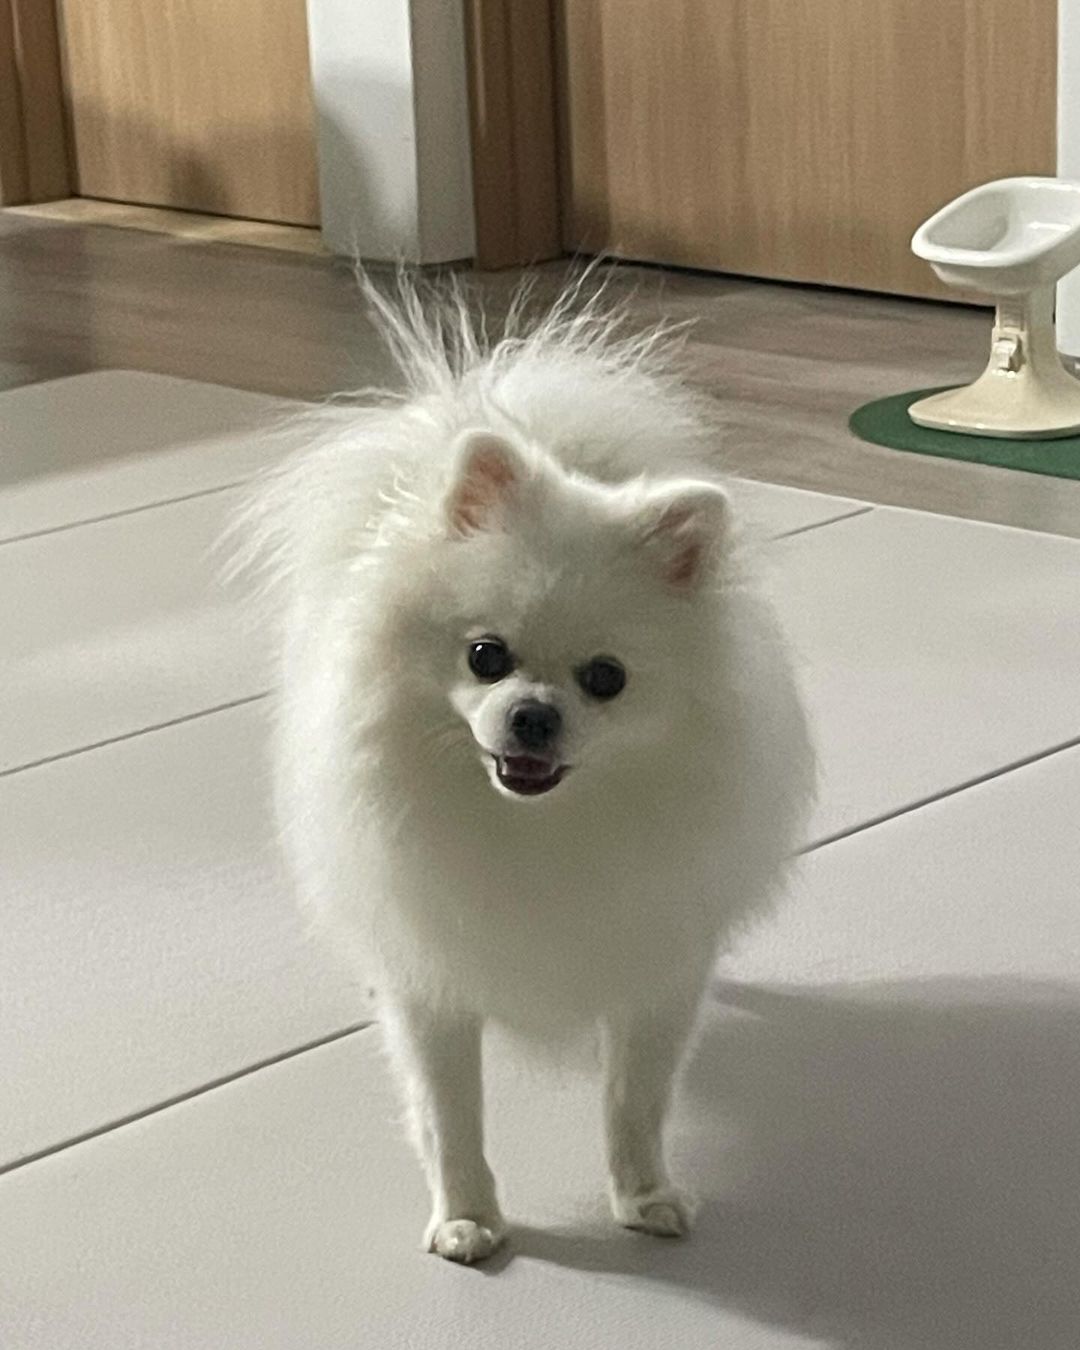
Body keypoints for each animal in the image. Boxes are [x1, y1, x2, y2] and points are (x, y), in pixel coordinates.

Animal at [240, 275, 814, 1264]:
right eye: (486, 656)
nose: (534, 715)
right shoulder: (433, 974)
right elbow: (449, 1111)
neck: (537, 829)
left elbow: (636, 1099)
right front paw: (467, 1215)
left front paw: (644, 1193)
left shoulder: (655, 966)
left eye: (606, 679)